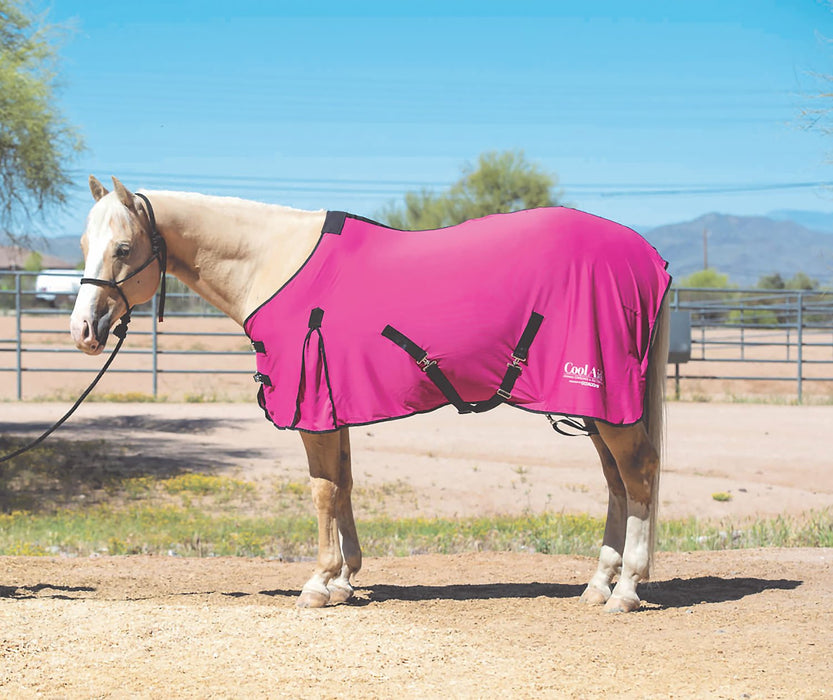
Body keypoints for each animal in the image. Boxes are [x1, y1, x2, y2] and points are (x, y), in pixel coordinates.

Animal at [70, 176, 671, 613]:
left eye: (123, 247)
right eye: (83, 244)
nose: (83, 331)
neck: (275, 263)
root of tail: (649, 257)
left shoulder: (312, 407)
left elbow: (321, 491)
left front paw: (318, 584)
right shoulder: (334, 405)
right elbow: (344, 487)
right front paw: (344, 580)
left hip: (604, 401)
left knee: (638, 474)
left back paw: (625, 590)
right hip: (596, 409)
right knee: (617, 482)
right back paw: (597, 584)